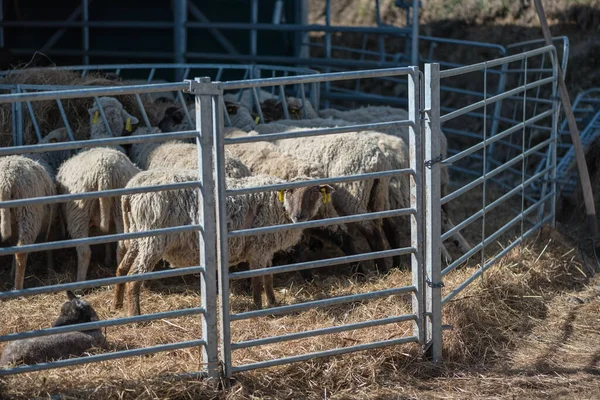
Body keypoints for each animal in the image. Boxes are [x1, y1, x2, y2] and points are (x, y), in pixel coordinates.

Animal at [0, 155, 56, 290]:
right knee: (21, 251)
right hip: (29, 214)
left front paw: (11, 272)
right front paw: (51, 269)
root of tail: (6, 179)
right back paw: (18, 287)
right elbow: (49, 243)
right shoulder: (51, 222)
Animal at [56, 147, 141, 282]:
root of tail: (104, 173)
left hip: (79, 213)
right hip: (121, 209)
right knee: (121, 246)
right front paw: (107, 260)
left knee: (84, 251)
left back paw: (80, 282)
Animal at [112, 167, 336, 314]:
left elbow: (268, 277)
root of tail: (130, 191)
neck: (277, 204)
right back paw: (135, 315)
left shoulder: (265, 247)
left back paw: (117, 305)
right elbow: (257, 279)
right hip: (153, 240)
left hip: (138, 236)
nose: (299, 216)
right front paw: (258, 306)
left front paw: (273, 302)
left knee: (121, 269)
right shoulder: (258, 247)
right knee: (134, 276)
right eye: (291, 191)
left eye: (314, 193)